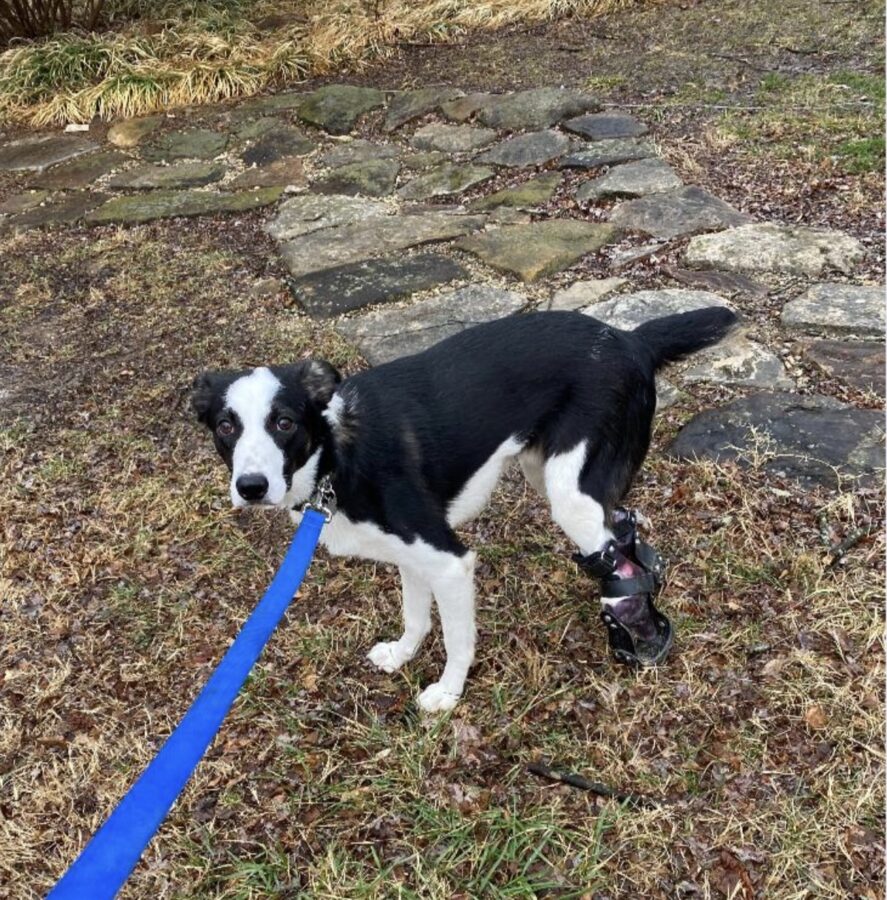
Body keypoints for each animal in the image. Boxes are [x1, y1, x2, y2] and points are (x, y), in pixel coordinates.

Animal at [192, 307, 736, 712]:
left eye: (284, 422)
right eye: (225, 427)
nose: (251, 487)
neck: (337, 454)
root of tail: (628, 337)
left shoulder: (450, 562)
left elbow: (457, 638)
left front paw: (447, 694)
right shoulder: (413, 556)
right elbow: (416, 617)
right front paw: (402, 655)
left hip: (569, 493)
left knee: (612, 550)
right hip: (547, 472)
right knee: (623, 526)